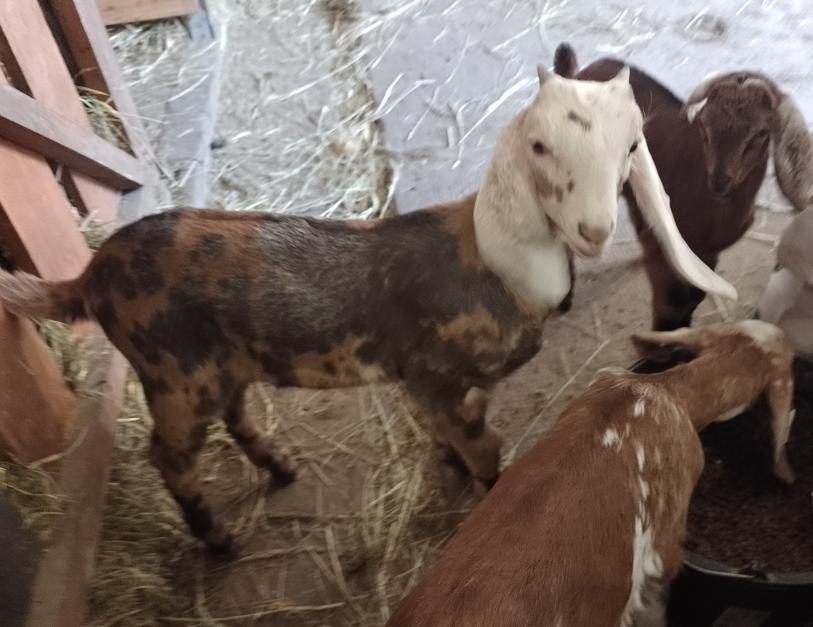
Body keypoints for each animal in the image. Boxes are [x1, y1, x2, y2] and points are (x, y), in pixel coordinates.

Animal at [0, 66, 734, 555]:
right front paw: (482, 487)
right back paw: (220, 541)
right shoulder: (439, 376)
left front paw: (446, 466)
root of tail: (91, 274)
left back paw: (281, 468)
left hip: (220, 366)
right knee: (169, 457)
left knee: (236, 415)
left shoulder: (424, 384)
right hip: (174, 375)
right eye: (539, 146)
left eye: (632, 147)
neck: (490, 265)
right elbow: (483, 448)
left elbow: (449, 437)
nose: (592, 230)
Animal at [554, 42, 812, 331]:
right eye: (704, 124)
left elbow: (695, 298)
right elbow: (670, 307)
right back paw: (565, 296)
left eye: (761, 133)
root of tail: (576, 73)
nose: (719, 180)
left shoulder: (709, 252)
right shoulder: (666, 255)